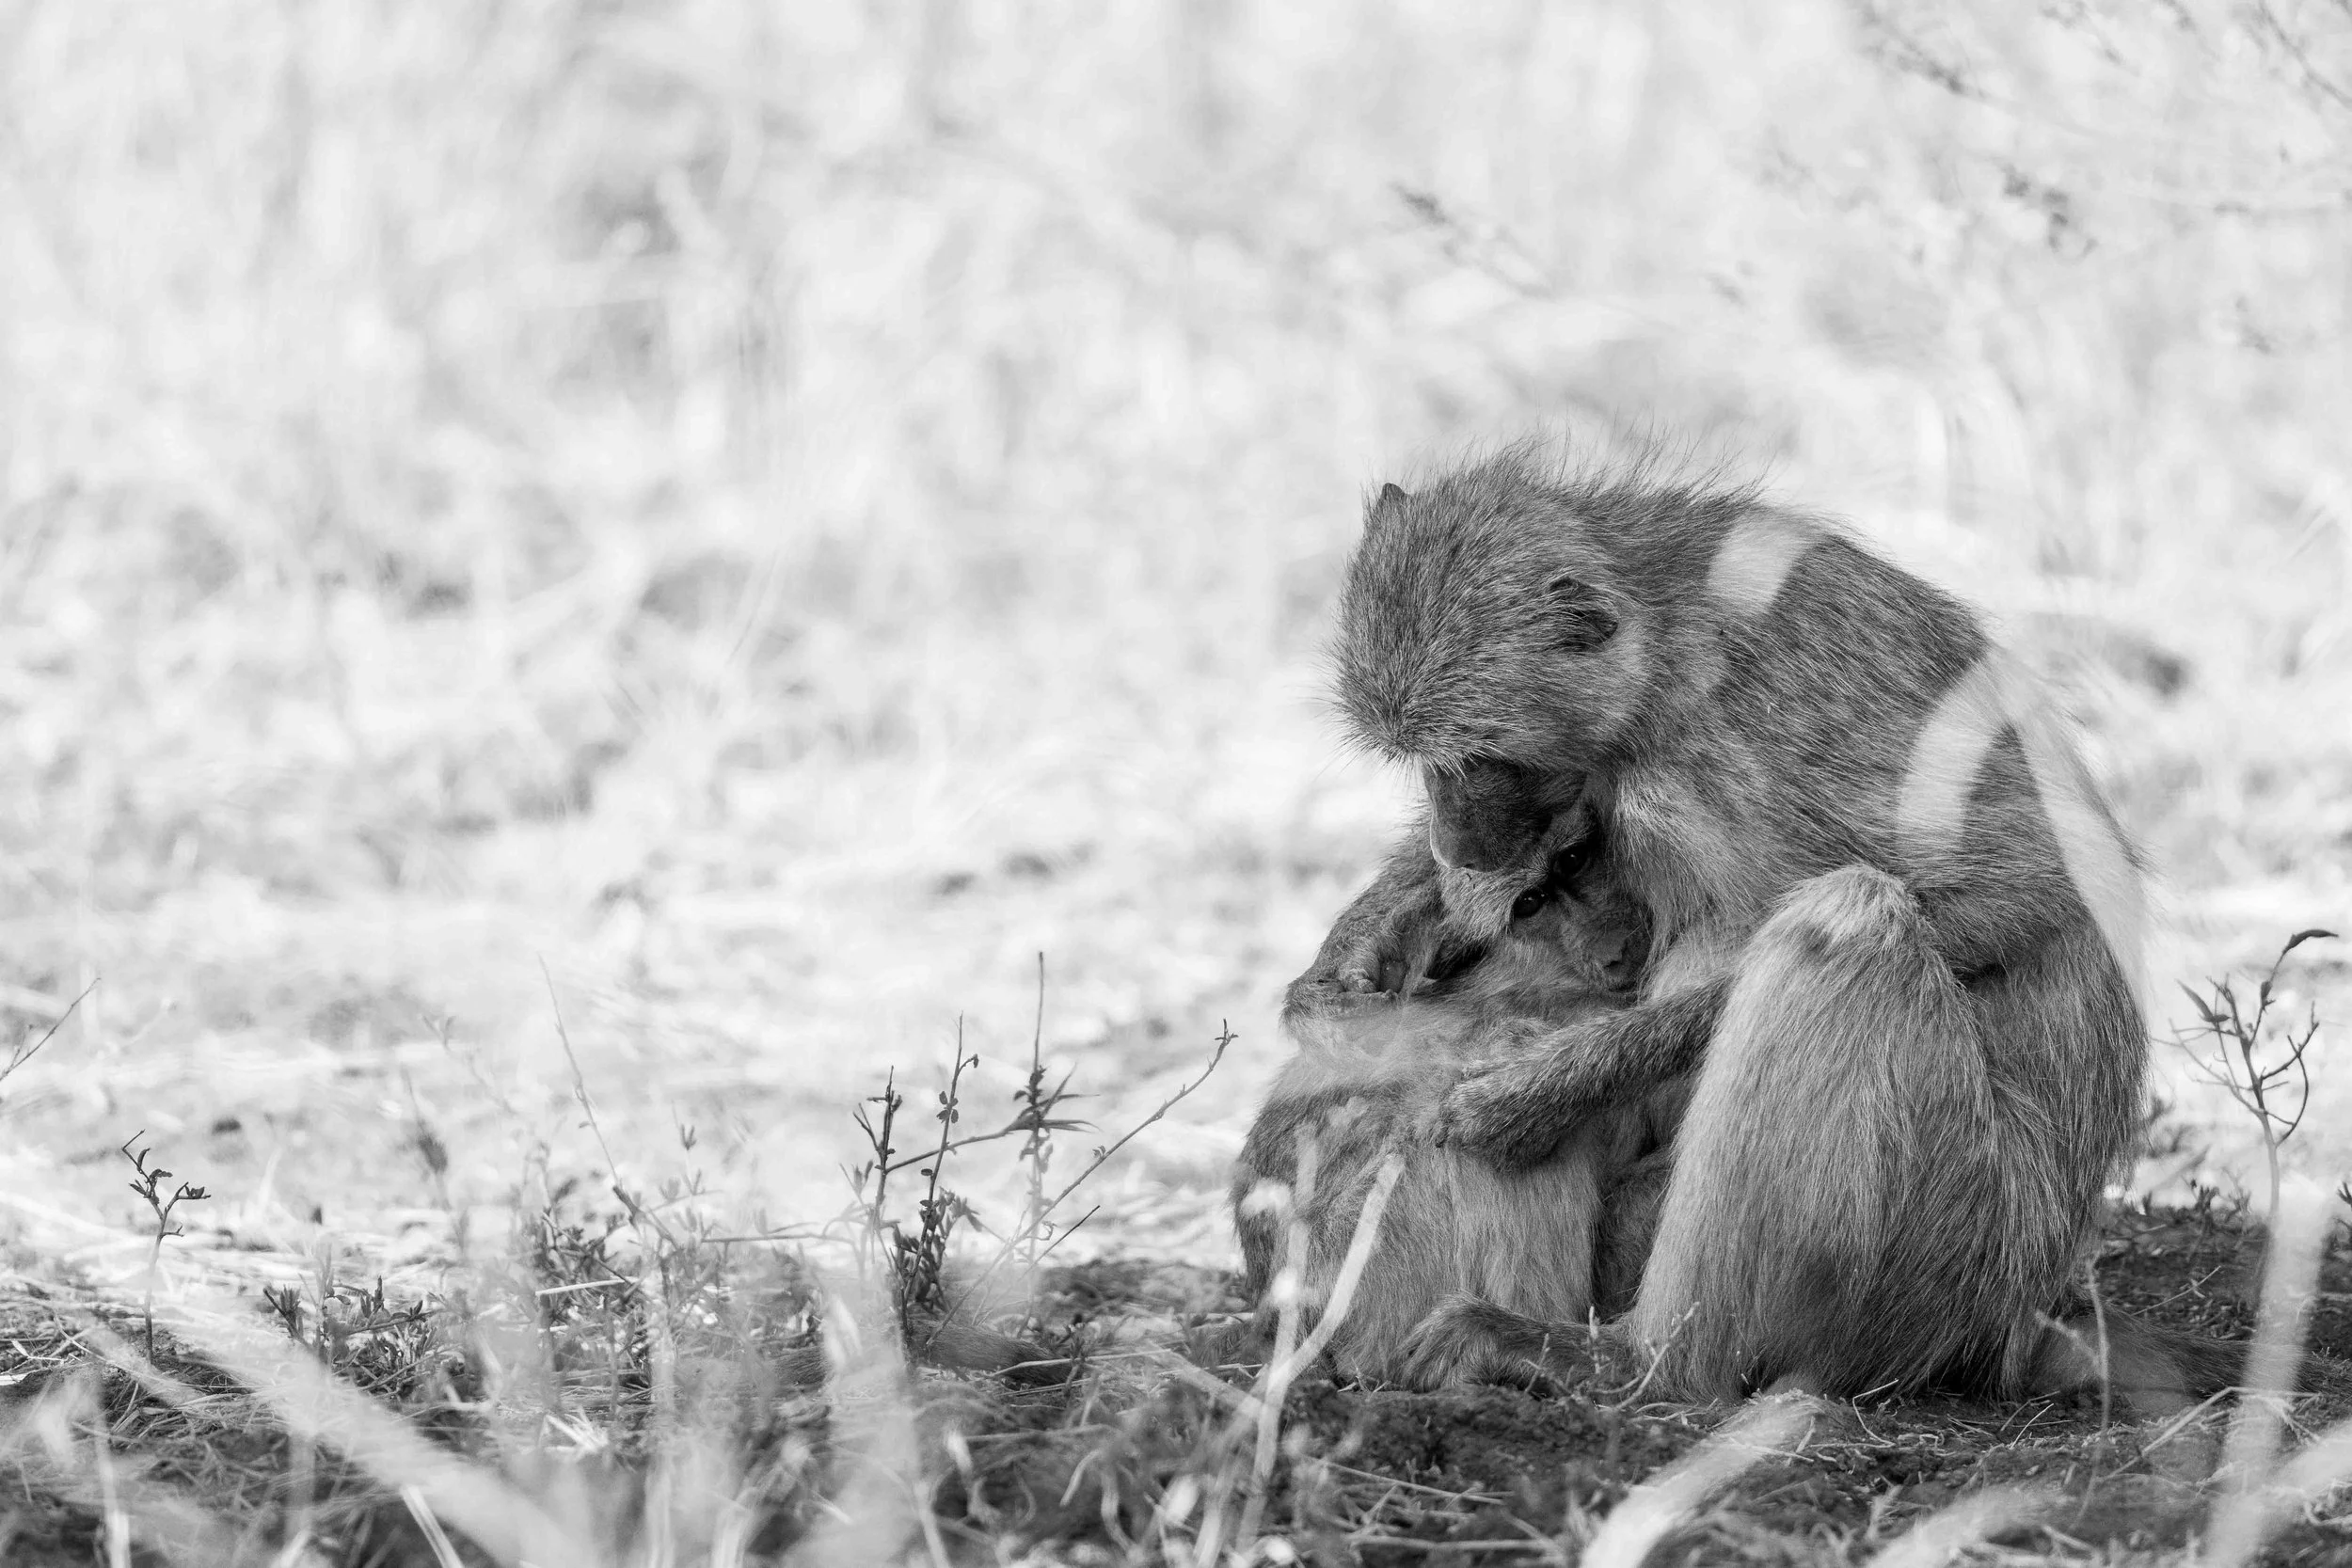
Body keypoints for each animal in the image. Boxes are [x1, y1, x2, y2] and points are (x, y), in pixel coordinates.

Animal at [1287, 442, 2238, 1409]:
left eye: (1480, 757)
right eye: (1422, 762)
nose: (1456, 839)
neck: (1664, 644)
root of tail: (2028, 1315)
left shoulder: (1747, 744)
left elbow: (2036, 888)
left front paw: (1533, 1091)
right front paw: (1351, 959)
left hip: (1956, 1249)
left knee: (1846, 921)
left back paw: (1631, 1360)